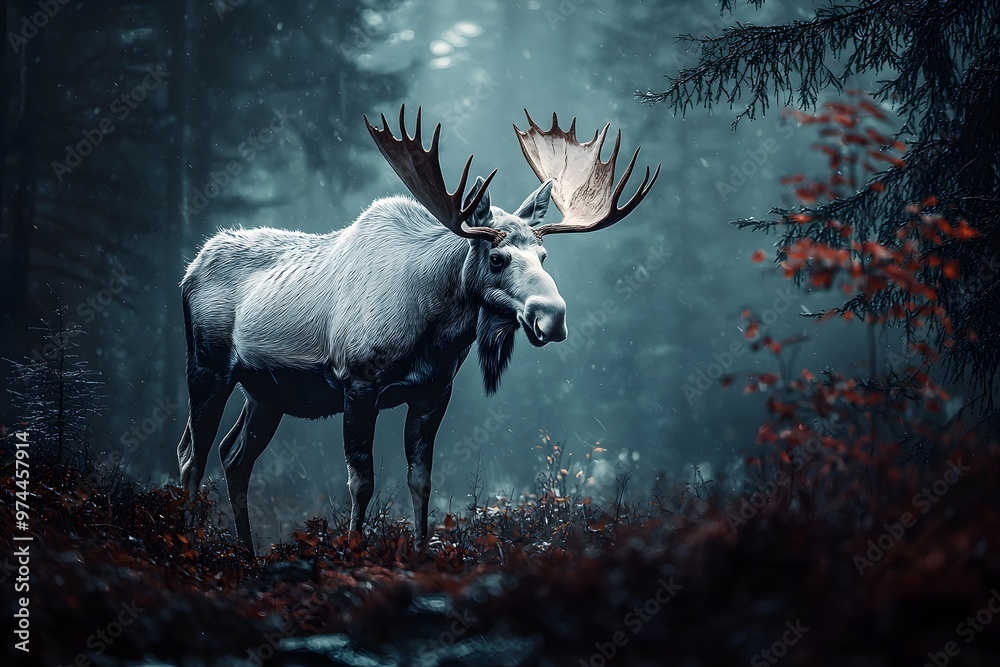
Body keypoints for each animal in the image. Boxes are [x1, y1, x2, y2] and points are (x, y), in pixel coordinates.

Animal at [176, 106, 659, 555]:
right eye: (497, 257)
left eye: (544, 256)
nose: (553, 315)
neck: (433, 331)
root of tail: (189, 269)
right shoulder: (358, 384)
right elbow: (362, 481)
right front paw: (353, 550)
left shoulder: (432, 392)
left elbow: (421, 480)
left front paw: (422, 552)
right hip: (207, 368)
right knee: (192, 454)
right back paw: (188, 540)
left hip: (265, 392)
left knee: (234, 456)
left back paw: (246, 552)